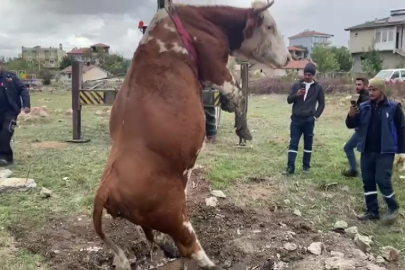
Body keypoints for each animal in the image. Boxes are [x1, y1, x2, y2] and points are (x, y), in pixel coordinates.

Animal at [94, 1, 290, 268]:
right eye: (269, 26)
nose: (289, 58)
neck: (198, 21)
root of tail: (105, 188)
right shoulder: (215, 67)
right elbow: (239, 93)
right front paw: (243, 129)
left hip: (151, 217)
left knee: (153, 235)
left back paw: (167, 248)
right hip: (173, 214)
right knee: (189, 246)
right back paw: (209, 262)